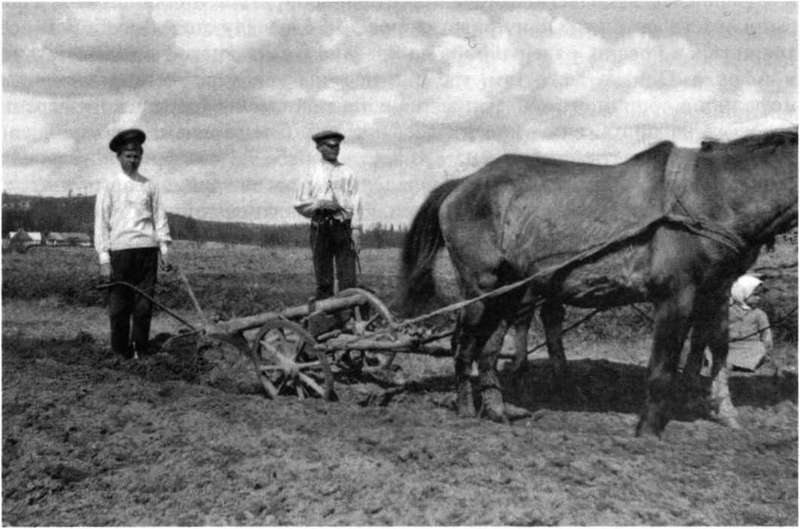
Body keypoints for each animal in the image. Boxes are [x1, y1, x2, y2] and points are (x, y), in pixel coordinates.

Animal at [404, 128, 796, 434]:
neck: (714, 194)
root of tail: (462, 183)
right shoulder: (675, 294)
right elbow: (662, 365)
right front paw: (649, 428)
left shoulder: (715, 291)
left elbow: (718, 350)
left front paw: (724, 413)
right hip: (481, 289)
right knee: (463, 344)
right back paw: (466, 408)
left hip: (509, 291)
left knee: (487, 348)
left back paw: (497, 409)